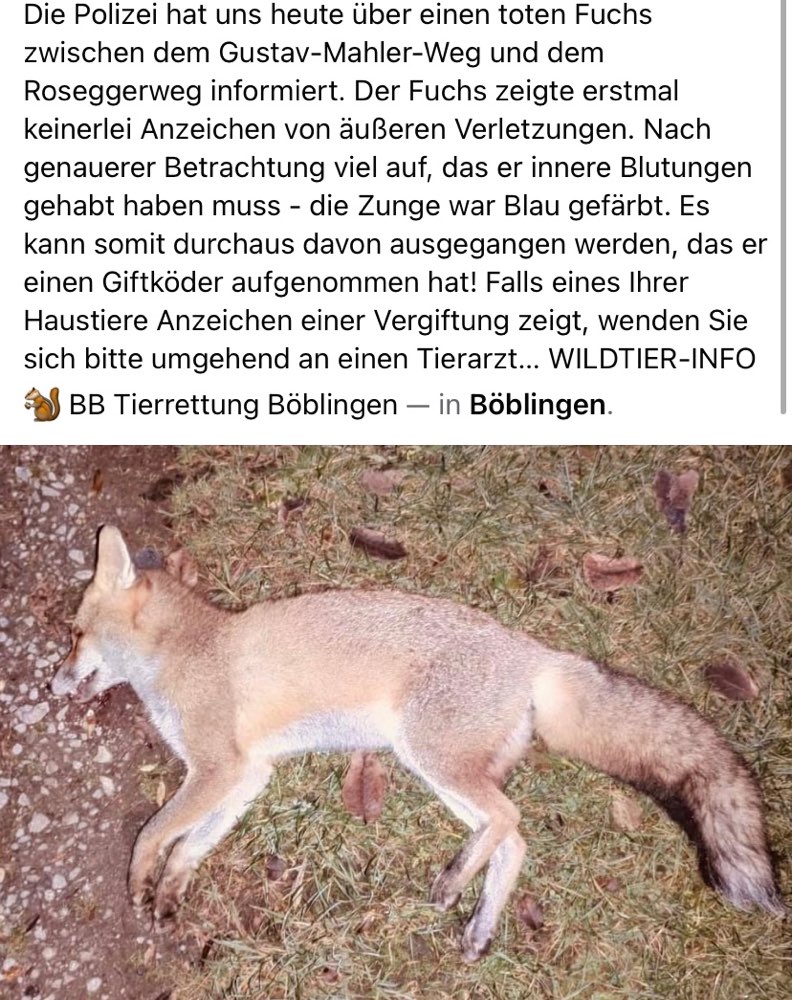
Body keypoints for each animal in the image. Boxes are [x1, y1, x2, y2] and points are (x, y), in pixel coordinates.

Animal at [50, 526, 786, 961]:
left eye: (76, 633)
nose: (53, 681)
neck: (189, 653)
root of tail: (533, 651)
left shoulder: (217, 769)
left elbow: (154, 833)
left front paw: (139, 881)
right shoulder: (245, 775)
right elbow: (191, 845)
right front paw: (170, 889)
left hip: (433, 756)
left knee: (510, 818)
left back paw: (454, 882)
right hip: (435, 769)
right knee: (514, 839)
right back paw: (479, 921)